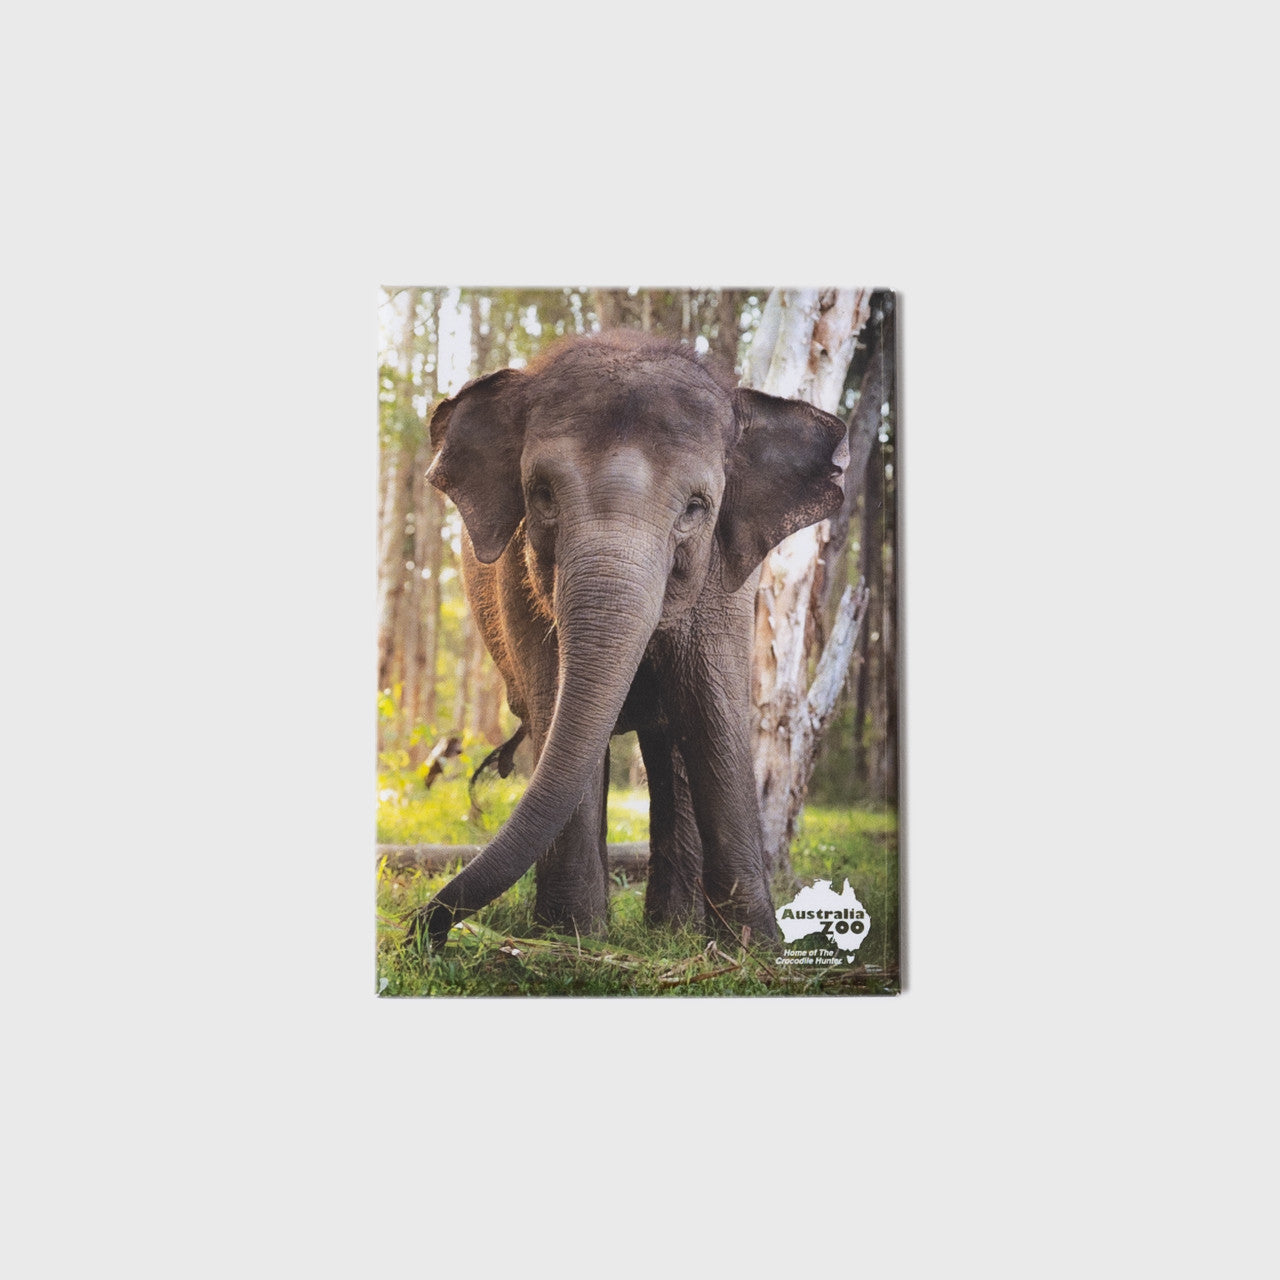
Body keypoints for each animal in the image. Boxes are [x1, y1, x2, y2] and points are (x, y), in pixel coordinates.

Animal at [407, 330, 849, 950]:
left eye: (696, 507)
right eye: (541, 494)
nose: (424, 931)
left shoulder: (728, 583)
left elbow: (712, 716)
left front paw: (756, 949)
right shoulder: (517, 580)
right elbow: (556, 709)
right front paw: (573, 939)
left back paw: (675, 931)